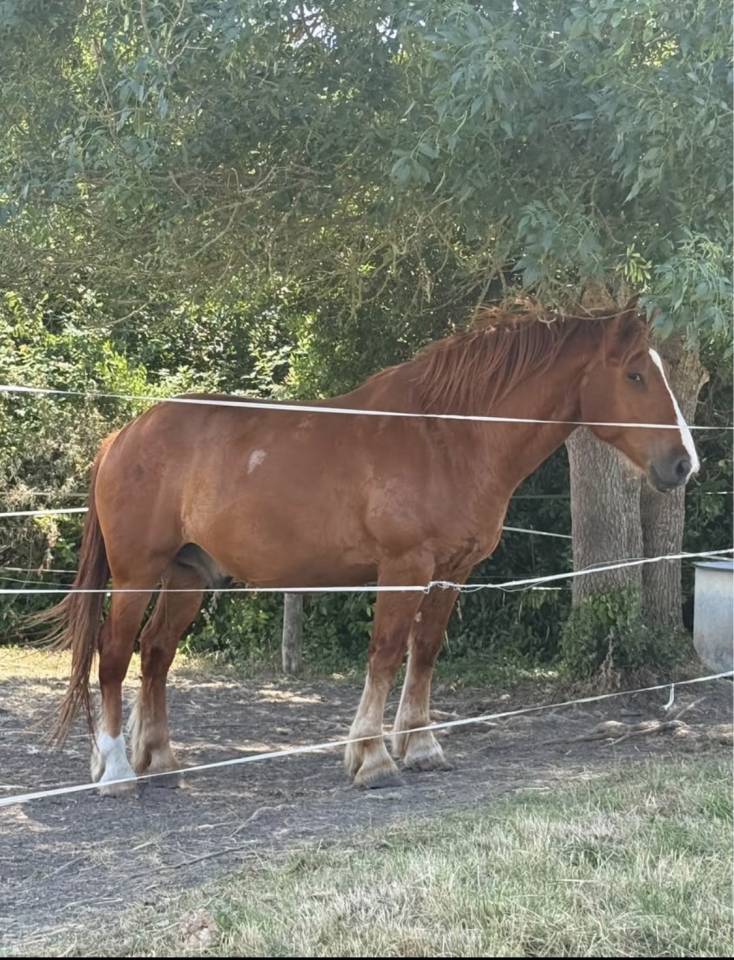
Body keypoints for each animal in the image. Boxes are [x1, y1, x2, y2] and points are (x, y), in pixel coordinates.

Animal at [42, 299, 699, 795]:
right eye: (635, 375)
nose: (684, 464)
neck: (448, 436)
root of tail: (125, 435)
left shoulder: (452, 572)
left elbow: (424, 653)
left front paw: (422, 746)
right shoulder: (403, 567)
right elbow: (384, 653)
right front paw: (372, 758)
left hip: (188, 575)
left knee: (155, 655)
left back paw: (160, 760)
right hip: (137, 573)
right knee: (113, 654)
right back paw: (117, 770)